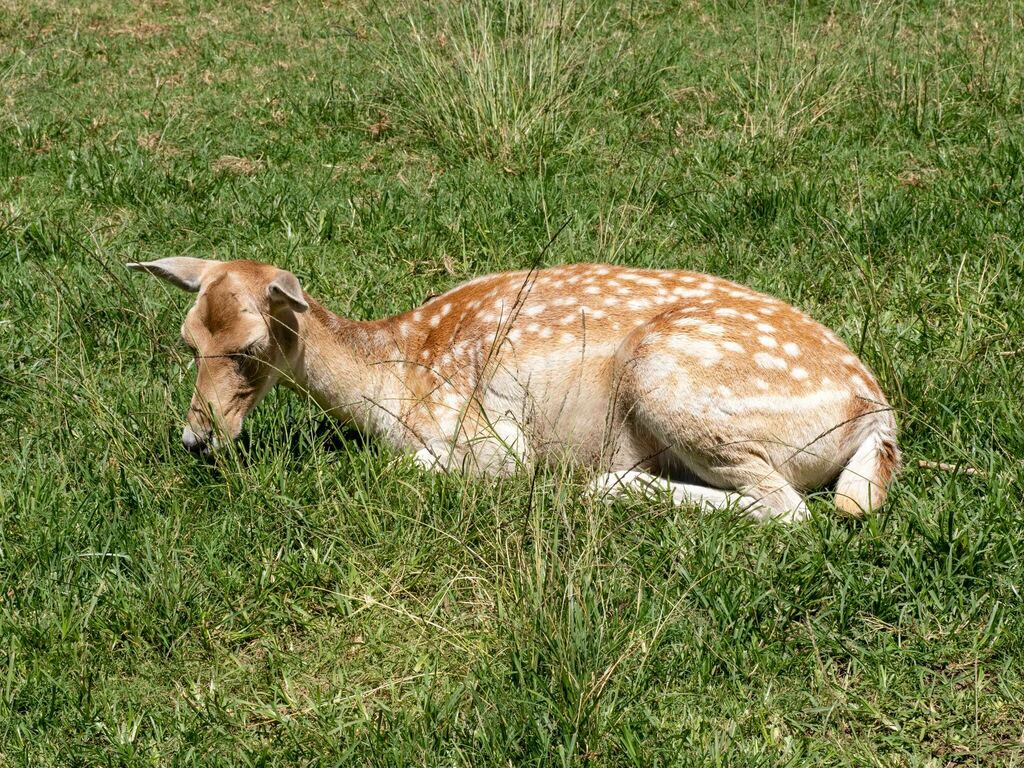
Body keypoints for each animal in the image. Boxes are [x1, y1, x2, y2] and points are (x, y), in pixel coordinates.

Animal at [130, 259, 905, 524]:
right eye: (187, 339)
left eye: (249, 347)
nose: (196, 438)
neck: (389, 381)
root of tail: (877, 417)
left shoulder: (486, 436)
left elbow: (411, 466)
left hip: (671, 379)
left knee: (791, 509)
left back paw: (606, 485)